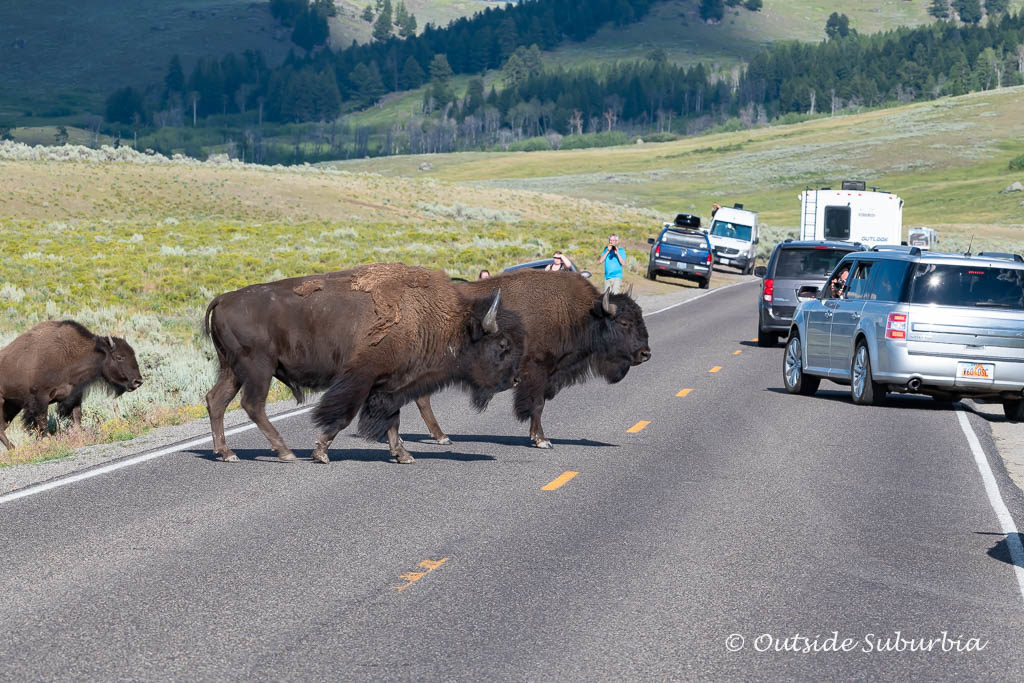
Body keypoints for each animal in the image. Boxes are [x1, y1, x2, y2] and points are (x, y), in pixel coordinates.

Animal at [0, 321, 144, 450]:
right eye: (119, 357)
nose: (138, 381)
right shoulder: (40, 400)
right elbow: (42, 424)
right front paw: (48, 443)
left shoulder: (74, 397)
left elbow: (77, 418)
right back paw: (13, 448)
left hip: (12, 406)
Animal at [207, 262, 528, 464]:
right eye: (502, 344)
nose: (515, 379)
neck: (428, 317)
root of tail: (223, 298)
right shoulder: (362, 378)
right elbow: (344, 415)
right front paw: (321, 452)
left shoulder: (392, 383)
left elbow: (393, 418)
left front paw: (403, 455)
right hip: (257, 370)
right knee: (252, 405)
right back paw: (284, 452)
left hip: (233, 371)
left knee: (216, 401)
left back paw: (227, 453)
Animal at [413, 270, 647, 450]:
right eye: (624, 322)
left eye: (640, 316)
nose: (646, 353)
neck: (578, 314)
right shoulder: (536, 373)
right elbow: (537, 404)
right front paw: (542, 440)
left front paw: (538, 437)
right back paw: (442, 437)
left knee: (422, 398)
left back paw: (441, 436)